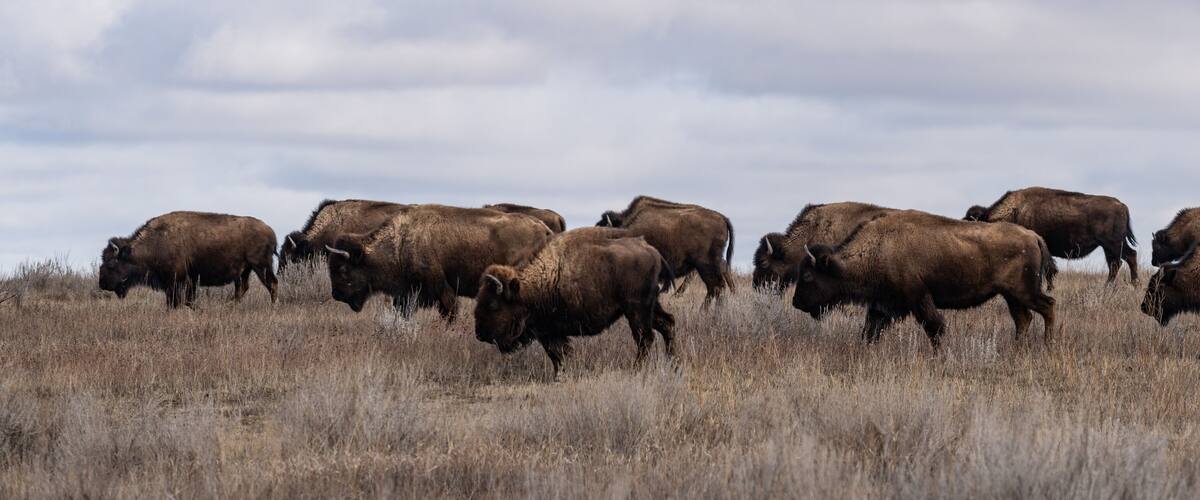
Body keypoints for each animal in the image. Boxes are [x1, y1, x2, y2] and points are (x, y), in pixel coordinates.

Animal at [99, 211, 278, 308]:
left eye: (111, 263)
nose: (102, 284)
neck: (156, 242)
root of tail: (270, 231)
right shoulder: (185, 281)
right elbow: (184, 300)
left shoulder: (176, 281)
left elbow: (179, 301)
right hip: (245, 270)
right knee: (242, 288)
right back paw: (229, 306)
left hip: (260, 266)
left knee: (272, 284)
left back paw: (272, 306)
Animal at [324, 205, 552, 318]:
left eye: (343, 268)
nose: (336, 295)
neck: (400, 242)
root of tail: (545, 230)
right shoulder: (408, 294)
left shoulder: (442, 289)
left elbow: (449, 313)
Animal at [474, 227, 676, 378]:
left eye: (493, 305)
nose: (480, 334)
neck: (527, 289)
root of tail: (651, 249)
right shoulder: (549, 332)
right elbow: (558, 354)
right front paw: (560, 375)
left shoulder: (547, 331)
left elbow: (557, 353)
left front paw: (560, 376)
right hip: (650, 306)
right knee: (667, 324)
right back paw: (674, 363)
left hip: (636, 309)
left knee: (645, 338)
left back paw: (637, 370)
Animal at [792, 210, 1056, 348]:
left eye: (807, 275)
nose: (796, 303)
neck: (879, 247)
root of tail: (1034, 236)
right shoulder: (882, 305)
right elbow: (870, 330)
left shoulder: (919, 298)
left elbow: (934, 327)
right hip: (1011, 295)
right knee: (1023, 319)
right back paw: (1017, 348)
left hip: (1023, 292)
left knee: (1047, 306)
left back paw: (1047, 344)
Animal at [965, 187, 1136, 288]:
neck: (1015, 211)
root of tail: (1122, 205)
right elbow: (1049, 269)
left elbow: (1048, 270)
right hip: (1108, 247)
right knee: (1116, 263)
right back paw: (1109, 287)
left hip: (1113, 243)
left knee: (1128, 257)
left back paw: (1133, 284)